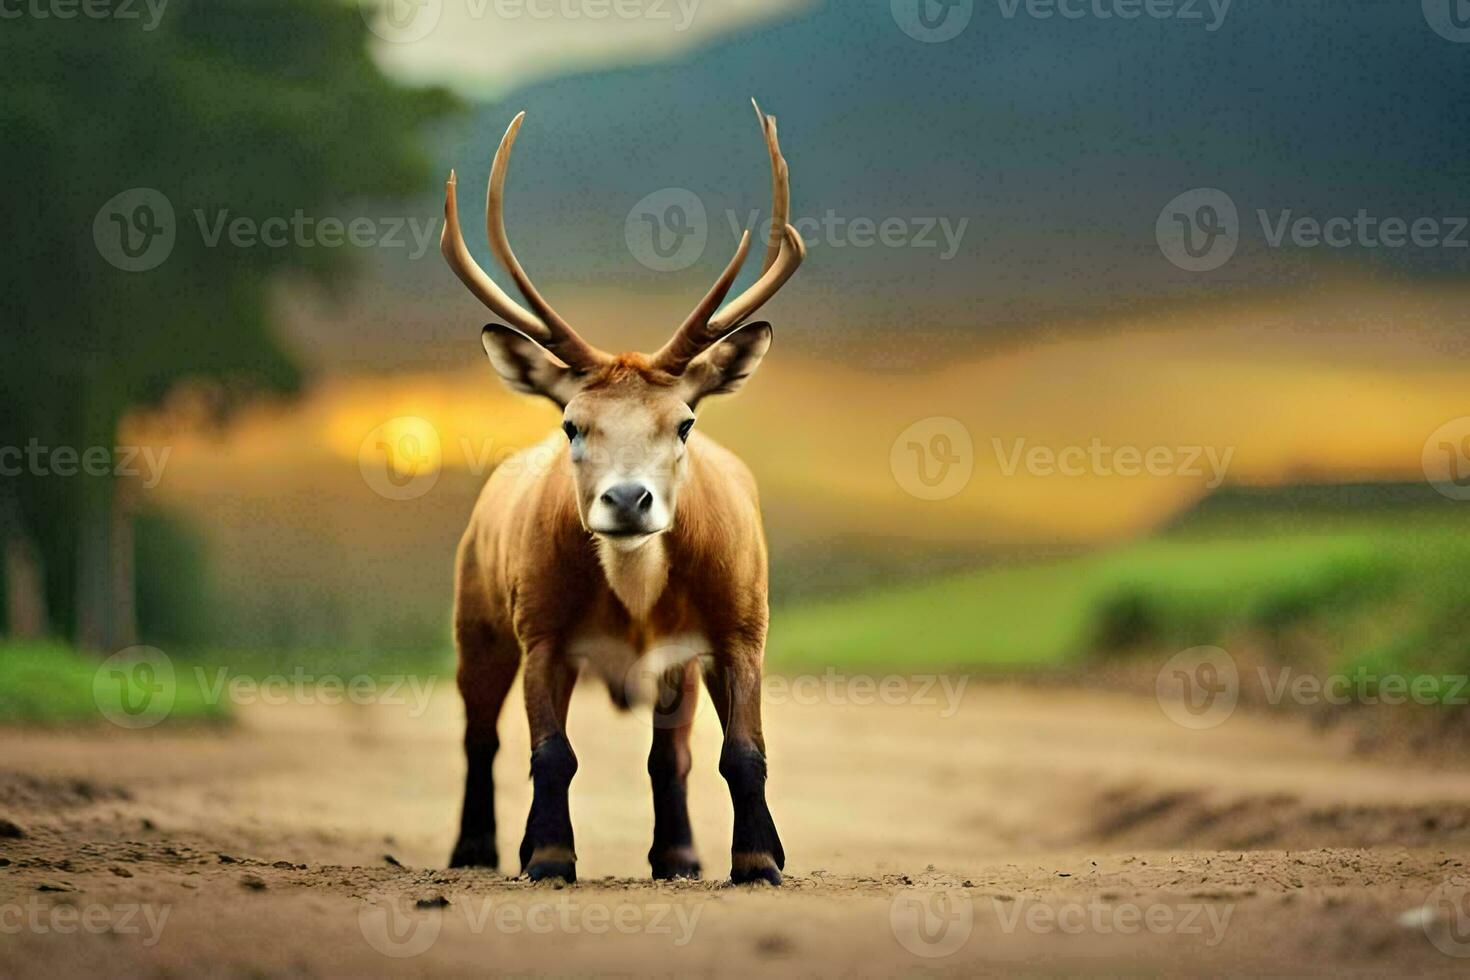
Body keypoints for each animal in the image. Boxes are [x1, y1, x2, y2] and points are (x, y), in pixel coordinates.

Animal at [438, 101, 805, 887]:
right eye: (572, 423)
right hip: (476, 616)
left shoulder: (740, 626)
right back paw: (476, 850)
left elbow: (741, 753)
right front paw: (548, 855)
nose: (629, 500)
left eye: (685, 421)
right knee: (480, 735)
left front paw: (758, 858)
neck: (636, 597)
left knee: (672, 753)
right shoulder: (539, 626)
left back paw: (679, 855)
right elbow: (551, 753)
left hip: (675, 668)